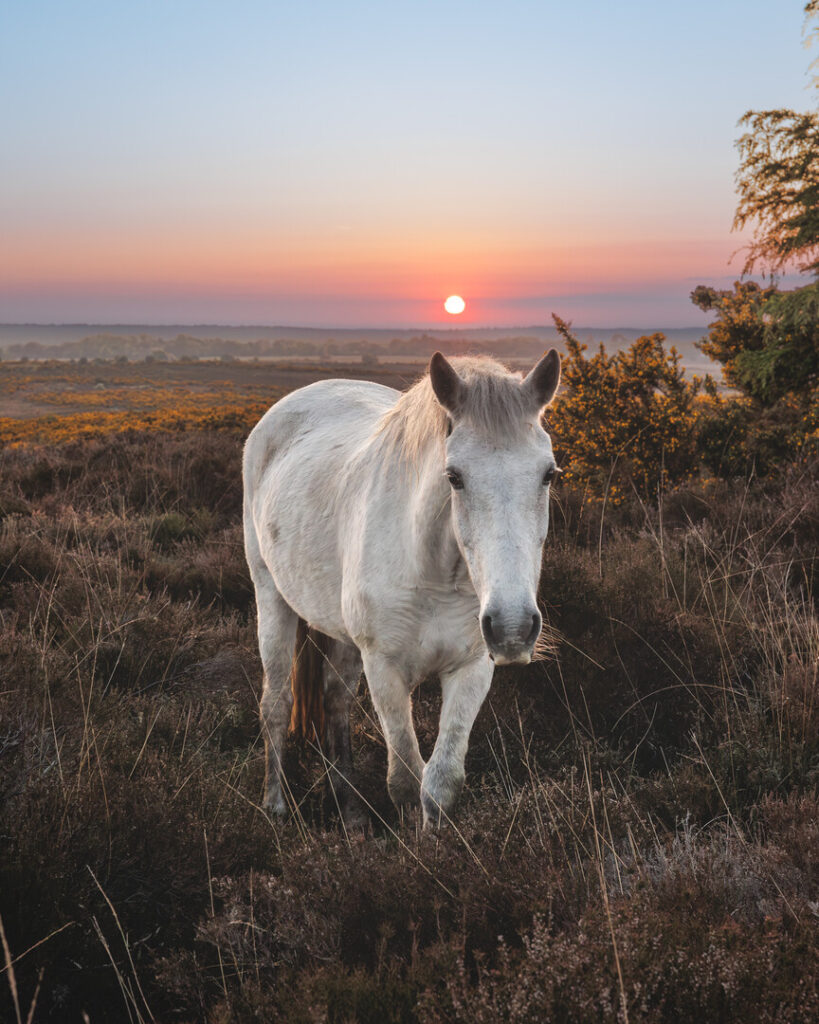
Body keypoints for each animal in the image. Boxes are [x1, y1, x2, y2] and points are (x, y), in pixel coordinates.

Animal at [242, 349, 561, 826]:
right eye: (455, 477)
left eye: (548, 474)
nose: (513, 629)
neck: (436, 575)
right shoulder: (385, 669)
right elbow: (406, 782)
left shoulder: (471, 669)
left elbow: (441, 783)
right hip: (271, 597)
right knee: (276, 704)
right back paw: (276, 806)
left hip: (343, 636)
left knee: (335, 703)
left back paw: (351, 813)